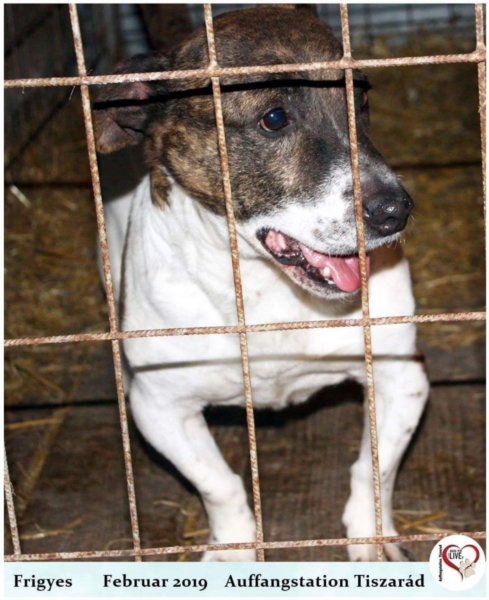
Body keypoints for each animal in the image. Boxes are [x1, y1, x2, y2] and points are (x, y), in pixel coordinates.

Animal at [93, 6, 429, 561]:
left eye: (361, 99)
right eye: (274, 118)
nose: (395, 211)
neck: (264, 289)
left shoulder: (402, 378)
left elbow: (373, 471)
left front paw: (372, 539)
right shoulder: (159, 409)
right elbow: (220, 485)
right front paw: (232, 549)